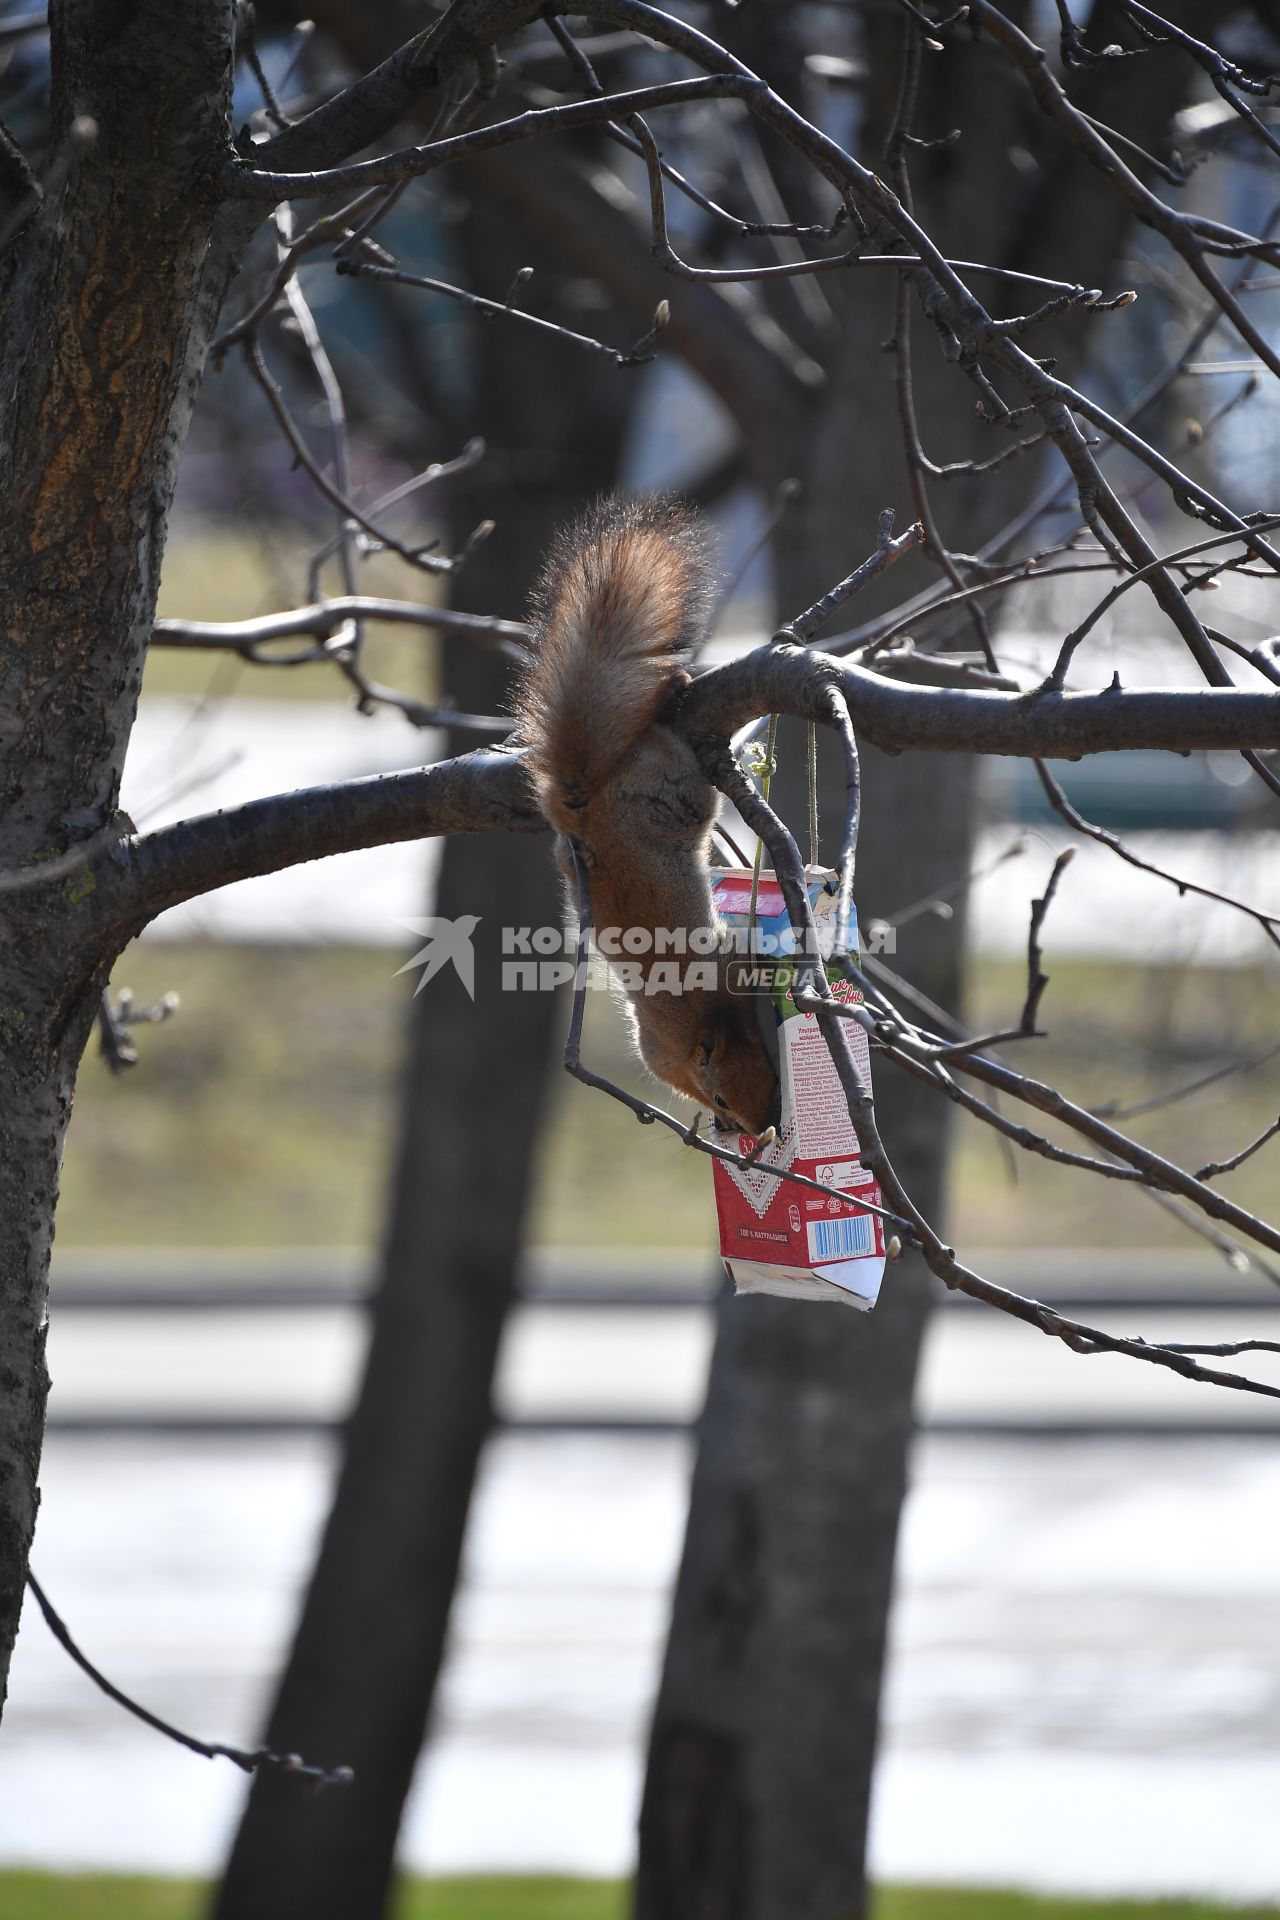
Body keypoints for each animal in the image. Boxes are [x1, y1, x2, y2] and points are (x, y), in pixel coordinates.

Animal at [518, 495, 782, 1136]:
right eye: (721, 1099)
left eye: (765, 1074)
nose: (752, 1127)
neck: (702, 1021)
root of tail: (583, 804)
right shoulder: (668, 1049)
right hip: (675, 790)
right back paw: (670, 696)